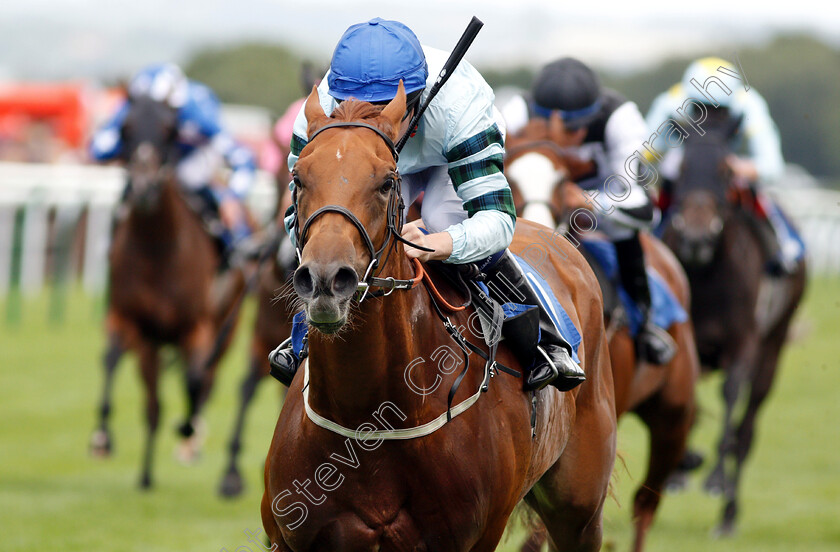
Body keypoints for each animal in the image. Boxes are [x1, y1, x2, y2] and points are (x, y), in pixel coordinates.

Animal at [90, 95, 244, 488]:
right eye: (125, 128)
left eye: (170, 130)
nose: (144, 187)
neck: (156, 249)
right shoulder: (132, 322)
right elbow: (112, 360)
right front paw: (102, 437)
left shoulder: (196, 327)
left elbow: (193, 381)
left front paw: (188, 429)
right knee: (155, 402)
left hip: (226, 326)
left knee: (206, 379)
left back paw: (192, 439)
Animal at [664, 109, 808, 536]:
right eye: (682, 167)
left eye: (726, 171)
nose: (695, 238)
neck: (708, 274)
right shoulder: (688, 340)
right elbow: (690, 401)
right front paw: (679, 470)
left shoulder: (745, 343)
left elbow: (730, 397)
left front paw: (714, 479)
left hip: (774, 345)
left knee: (746, 431)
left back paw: (728, 514)